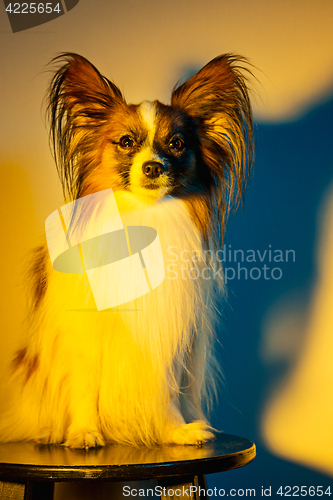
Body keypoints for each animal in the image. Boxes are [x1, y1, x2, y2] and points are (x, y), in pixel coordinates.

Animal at [0, 52, 253, 448]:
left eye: (177, 144)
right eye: (125, 141)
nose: (152, 167)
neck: (143, 216)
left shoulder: (164, 333)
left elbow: (164, 390)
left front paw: (174, 430)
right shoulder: (83, 335)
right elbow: (83, 387)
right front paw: (84, 431)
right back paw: (48, 431)